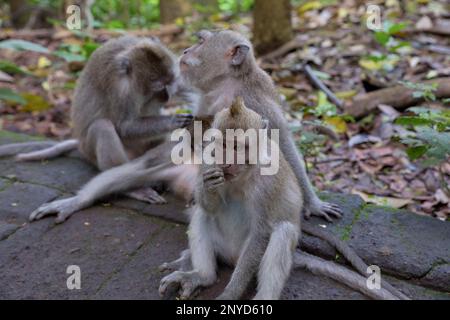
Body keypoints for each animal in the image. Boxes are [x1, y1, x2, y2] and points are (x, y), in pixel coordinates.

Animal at [0, 35, 192, 205]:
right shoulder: (120, 88)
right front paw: (172, 121)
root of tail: (81, 145)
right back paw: (132, 188)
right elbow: (125, 128)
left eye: (170, 82)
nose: (167, 97)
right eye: (158, 86)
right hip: (93, 153)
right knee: (102, 126)